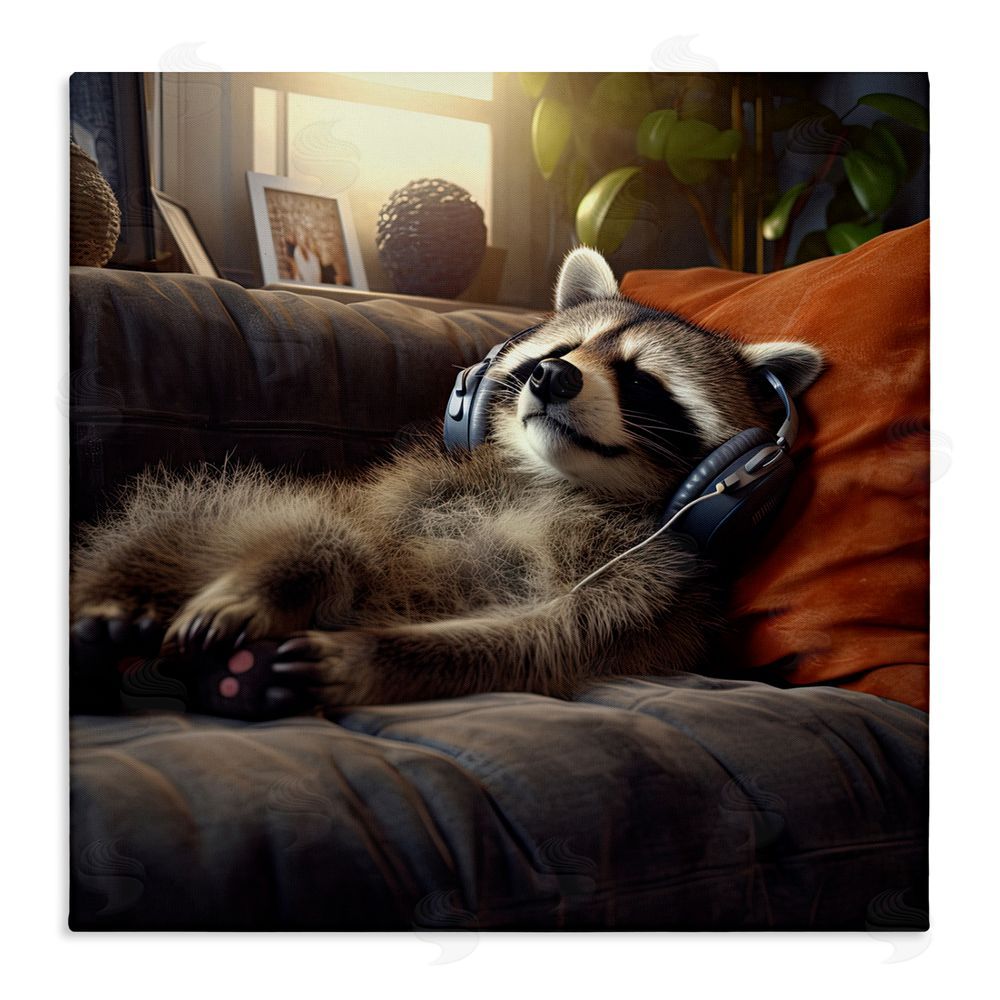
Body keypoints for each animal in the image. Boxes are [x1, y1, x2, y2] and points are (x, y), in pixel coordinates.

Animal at [70, 248, 822, 713]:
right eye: (561, 350)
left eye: (640, 382)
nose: (552, 376)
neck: (555, 480)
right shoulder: (413, 485)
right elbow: (333, 528)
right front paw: (277, 581)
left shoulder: (654, 585)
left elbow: (545, 638)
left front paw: (378, 655)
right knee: (211, 512)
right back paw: (120, 596)